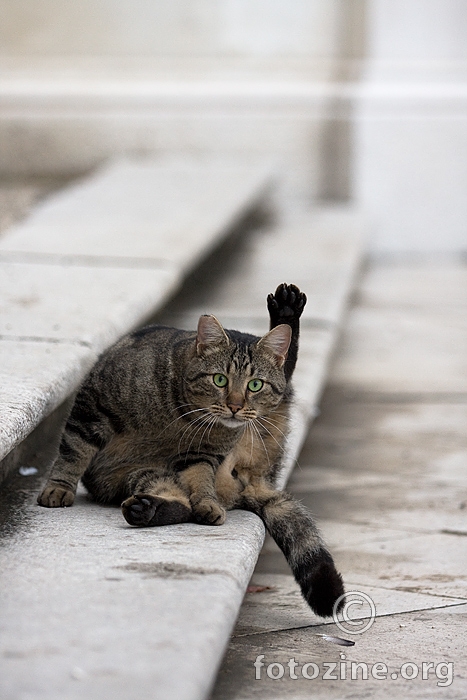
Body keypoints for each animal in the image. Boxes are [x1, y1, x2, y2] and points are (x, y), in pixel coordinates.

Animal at [38, 282, 346, 616]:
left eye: (254, 385)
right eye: (220, 379)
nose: (235, 406)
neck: (183, 414)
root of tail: (253, 482)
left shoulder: (200, 453)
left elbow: (200, 480)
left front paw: (207, 502)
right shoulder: (92, 410)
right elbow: (73, 453)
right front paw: (58, 488)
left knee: (286, 371)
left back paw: (287, 313)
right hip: (136, 473)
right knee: (176, 500)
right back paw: (147, 509)